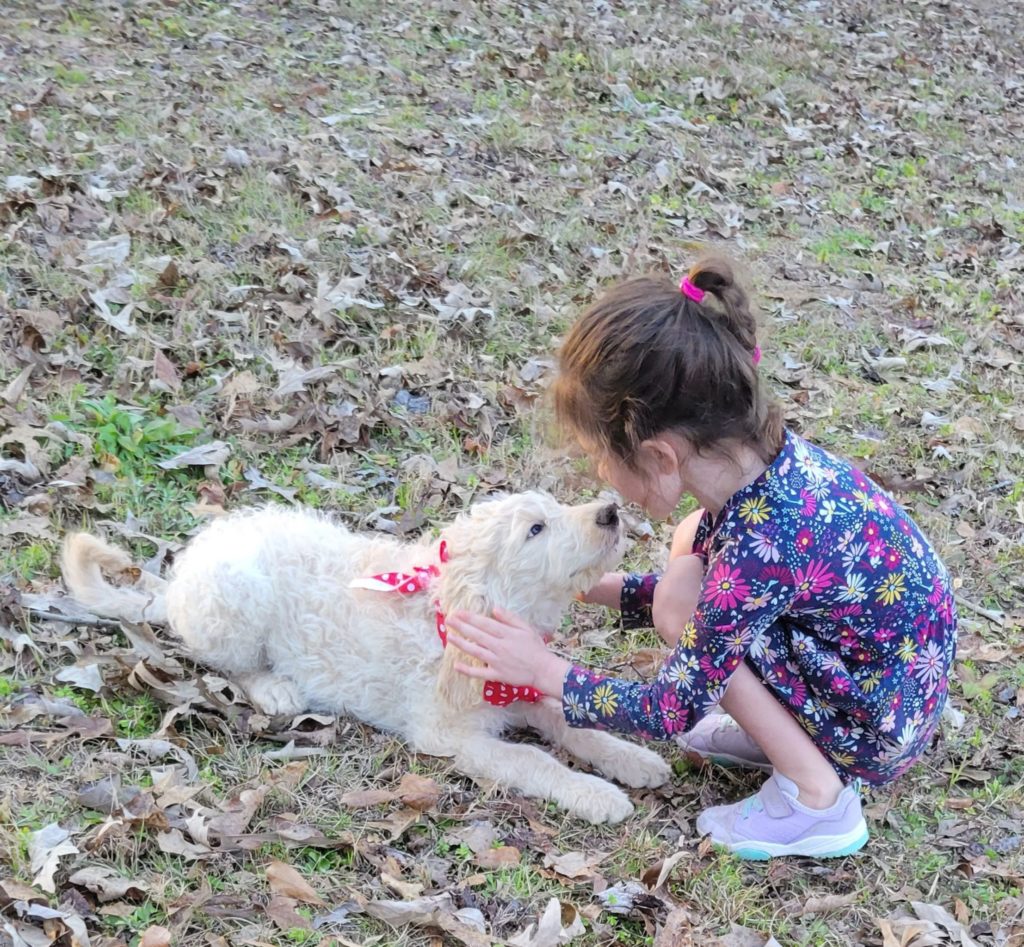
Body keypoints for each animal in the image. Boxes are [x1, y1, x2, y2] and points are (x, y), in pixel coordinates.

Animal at [61, 491, 671, 823]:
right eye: (536, 529)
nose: (611, 512)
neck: (448, 611)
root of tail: (179, 581)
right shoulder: (447, 735)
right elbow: (532, 760)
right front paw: (595, 794)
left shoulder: (521, 687)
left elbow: (575, 723)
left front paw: (631, 760)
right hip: (235, 602)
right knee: (230, 662)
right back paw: (273, 686)